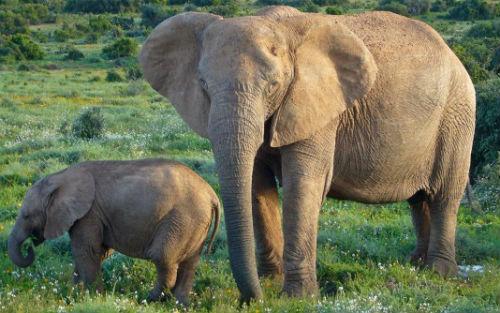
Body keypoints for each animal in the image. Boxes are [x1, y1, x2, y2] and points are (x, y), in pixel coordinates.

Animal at [7, 158, 219, 302]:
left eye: (27, 216)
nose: (30, 246)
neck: (59, 177)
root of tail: (211, 194)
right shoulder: (94, 216)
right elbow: (98, 252)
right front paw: (74, 293)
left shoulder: (88, 214)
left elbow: (87, 251)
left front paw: (92, 297)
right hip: (196, 223)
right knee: (190, 263)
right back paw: (179, 304)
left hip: (183, 218)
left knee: (163, 257)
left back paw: (148, 299)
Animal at [139, 5, 474, 302]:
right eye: (204, 85)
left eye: (273, 85)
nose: (252, 299)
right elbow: (256, 187)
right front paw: (270, 282)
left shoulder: (317, 107)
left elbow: (303, 185)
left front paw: (296, 297)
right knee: (419, 200)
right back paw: (416, 265)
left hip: (457, 115)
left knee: (444, 195)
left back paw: (440, 272)